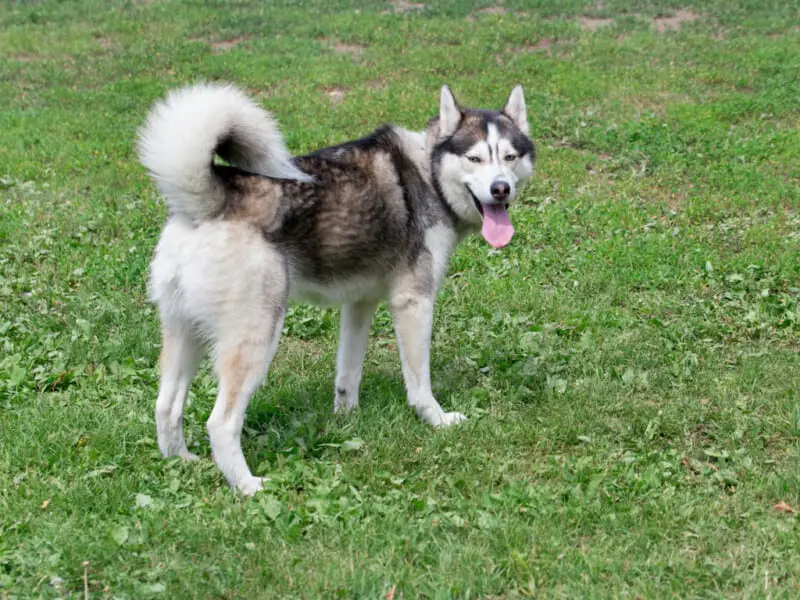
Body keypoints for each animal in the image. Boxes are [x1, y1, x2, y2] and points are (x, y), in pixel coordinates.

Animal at [140, 82, 536, 492]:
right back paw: (249, 485)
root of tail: (210, 201)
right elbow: (419, 382)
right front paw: (436, 420)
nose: (501, 189)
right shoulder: (413, 302)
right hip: (256, 338)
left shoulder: (359, 304)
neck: (428, 174)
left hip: (186, 335)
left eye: (509, 157)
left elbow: (348, 373)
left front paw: (346, 420)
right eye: (475, 158)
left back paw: (182, 462)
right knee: (221, 422)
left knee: (165, 406)